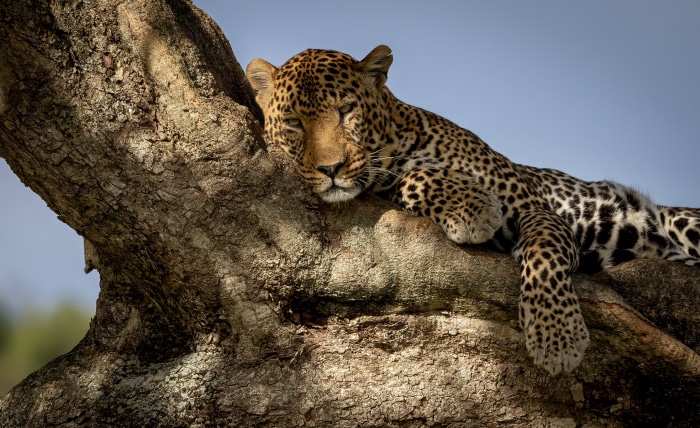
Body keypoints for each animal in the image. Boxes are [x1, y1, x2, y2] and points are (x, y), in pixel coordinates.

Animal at [246, 45, 700, 375]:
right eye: (294, 122)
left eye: (346, 110)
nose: (331, 169)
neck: (398, 143)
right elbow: (412, 180)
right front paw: (472, 206)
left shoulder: (537, 209)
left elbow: (544, 258)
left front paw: (557, 336)